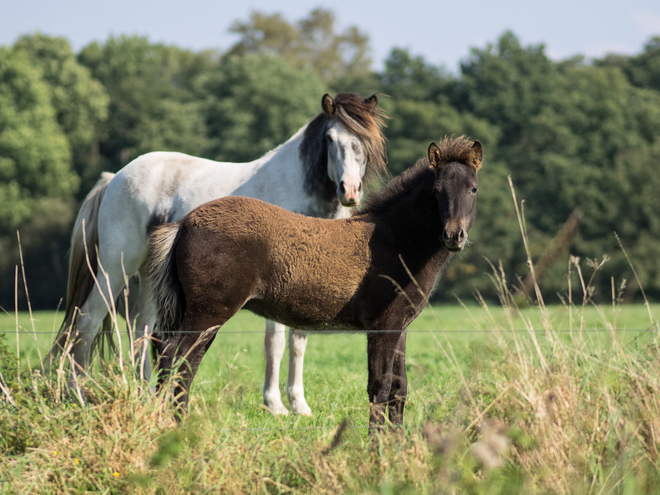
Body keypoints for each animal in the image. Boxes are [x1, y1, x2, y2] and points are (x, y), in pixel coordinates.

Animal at [52, 92, 386, 414]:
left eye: (364, 142)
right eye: (330, 138)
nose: (349, 190)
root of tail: (115, 177)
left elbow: (298, 341)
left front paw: (299, 405)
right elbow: (275, 342)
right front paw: (275, 404)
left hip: (149, 275)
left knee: (141, 330)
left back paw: (146, 397)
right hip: (116, 266)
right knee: (88, 323)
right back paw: (79, 397)